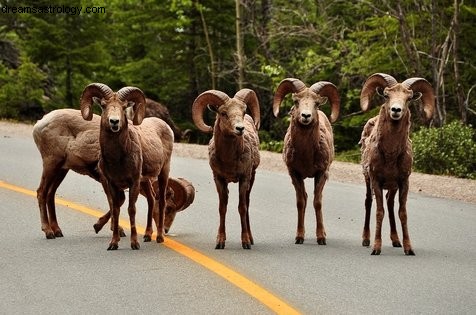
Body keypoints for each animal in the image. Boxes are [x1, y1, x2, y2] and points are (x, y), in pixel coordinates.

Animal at [32, 110, 193, 241]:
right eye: (169, 208)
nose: (166, 230)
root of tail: (39, 124)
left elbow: (121, 201)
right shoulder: (106, 178)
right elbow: (116, 200)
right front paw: (107, 228)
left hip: (61, 170)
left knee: (50, 194)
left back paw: (58, 231)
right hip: (51, 164)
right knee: (41, 192)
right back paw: (48, 232)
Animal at [192, 88, 260, 249]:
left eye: (243, 111)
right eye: (223, 113)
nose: (240, 129)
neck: (229, 160)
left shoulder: (244, 178)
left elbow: (242, 207)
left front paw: (245, 242)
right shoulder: (219, 179)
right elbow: (222, 208)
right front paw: (220, 241)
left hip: (252, 178)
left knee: (247, 204)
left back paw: (251, 238)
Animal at [274, 79, 340, 247]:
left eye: (316, 103)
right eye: (296, 101)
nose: (305, 116)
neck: (306, 155)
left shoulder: (321, 174)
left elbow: (317, 202)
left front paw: (321, 238)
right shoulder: (295, 174)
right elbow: (300, 202)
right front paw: (299, 237)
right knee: (304, 197)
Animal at [360, 73, 436, 256]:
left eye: (408, 98)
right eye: (387, 95)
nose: (396, 110)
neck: (391, 155)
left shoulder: (403, 182)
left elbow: (402, 213)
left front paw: (409, 248)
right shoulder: (376, 181)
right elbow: (379, 212)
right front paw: (376, 248)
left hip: (392, 187)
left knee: (390, 204)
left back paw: (396, 241)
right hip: (368, 181)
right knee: (369, 202)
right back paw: (366, 240)